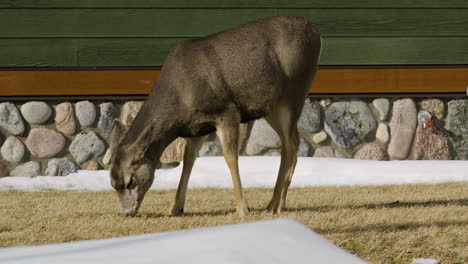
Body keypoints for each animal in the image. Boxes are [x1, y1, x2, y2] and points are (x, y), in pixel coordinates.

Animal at [109, 16, 322, 217]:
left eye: (130, 181)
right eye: (113, 183)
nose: (126, 213)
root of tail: (316, 32)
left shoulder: (227, 111)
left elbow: (230, 157)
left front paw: (242, 209)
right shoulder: (198, 126)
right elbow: (188, 159)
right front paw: (176, 208)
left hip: (293, 93)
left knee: (290, 143)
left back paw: (274, 204)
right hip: (272, 107)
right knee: (292, 141)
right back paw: (278, 204)